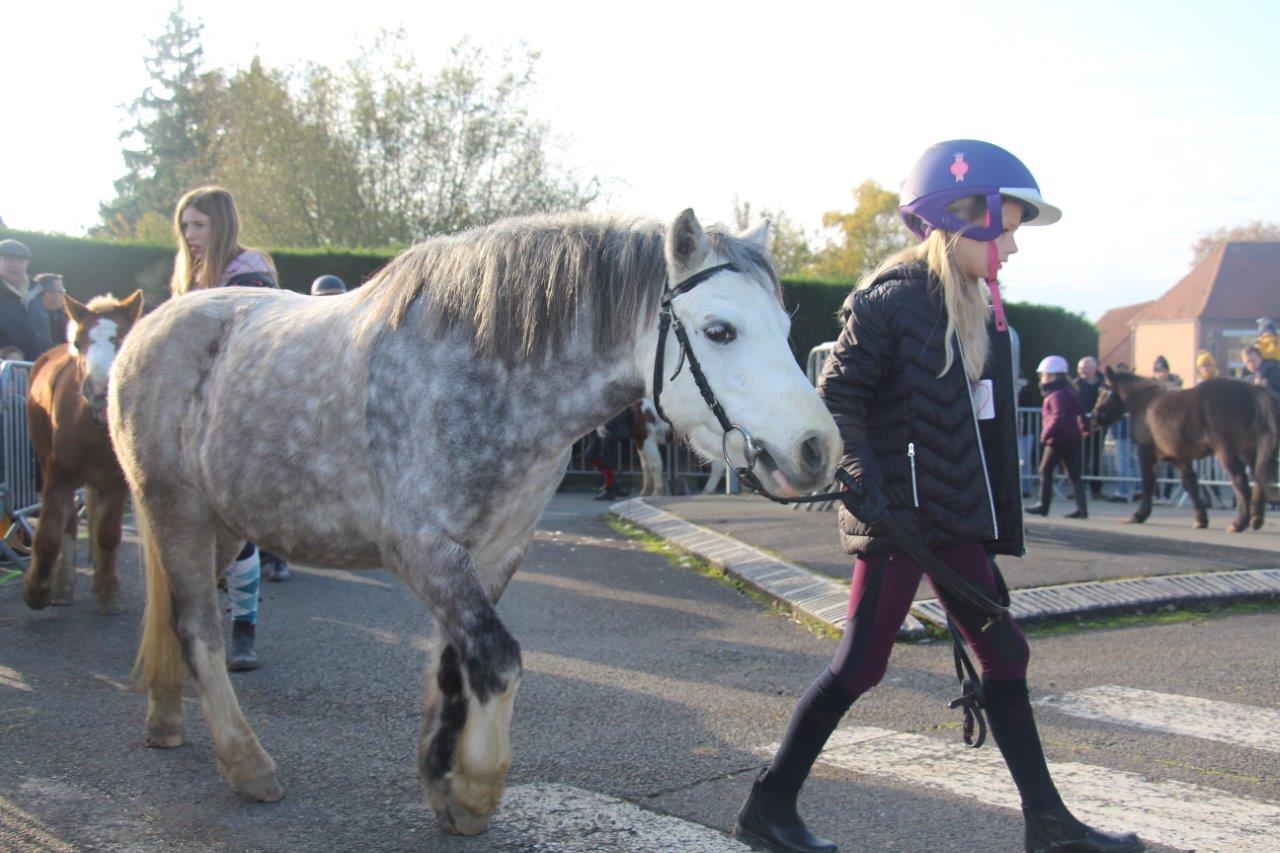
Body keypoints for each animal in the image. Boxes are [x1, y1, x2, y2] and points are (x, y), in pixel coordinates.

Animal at [24, 292, 145, 612]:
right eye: (78, 343)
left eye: (122, 339)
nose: (99, 389)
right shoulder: (58, 475)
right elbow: (49, 534)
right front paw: (37, 591)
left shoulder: (116, 481)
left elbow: (107, 534)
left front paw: (108, 591)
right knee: (67, 523)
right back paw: (62, 586)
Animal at [110, 208, 839, 835]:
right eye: (720, 330)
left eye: (784, 327)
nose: (817, 449)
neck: (483, 377)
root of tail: (144, 330)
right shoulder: (422, 549)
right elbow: (496, 656)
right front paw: (476, 788)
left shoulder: (495, 552)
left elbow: (454, 666)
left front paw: (442, 782)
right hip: (176, 508)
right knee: (198, 627)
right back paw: (246, 763)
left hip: (224, 521)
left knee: (179, 614)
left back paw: (164, 717)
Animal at [1095, 366, 1274, 532]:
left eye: (1102, 390)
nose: (1095, 416)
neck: (1145, 403)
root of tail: (1251, 390)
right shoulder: (1178, 458)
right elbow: (1190, 483)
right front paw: (1201, 519)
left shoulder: (1146, 452)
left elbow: (1148, 482)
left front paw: (1139, 514)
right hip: (1249, 451)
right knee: (1258, 478)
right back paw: (1256, 519)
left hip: (1226, 452)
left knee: (1240, 481)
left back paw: (1239, 523)